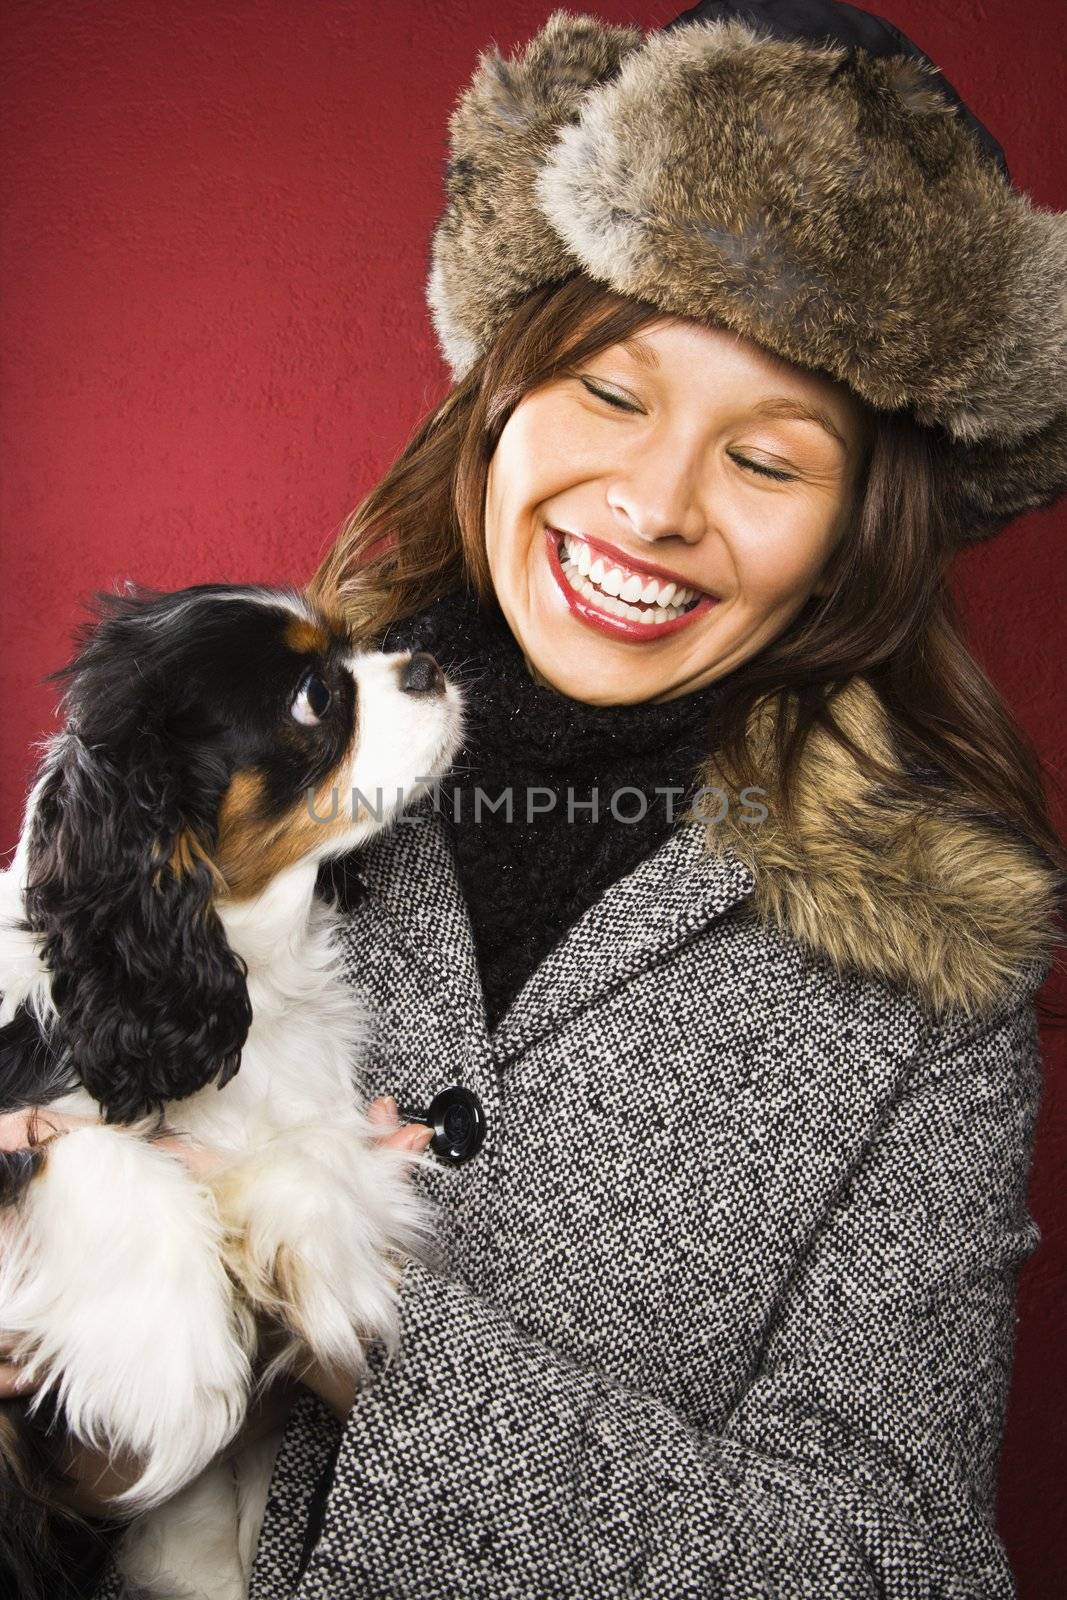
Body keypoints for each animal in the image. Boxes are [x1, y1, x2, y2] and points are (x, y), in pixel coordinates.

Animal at [0, 582, 463, 1600]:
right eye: (314, 699)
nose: (426, 663)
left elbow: (309, 1156)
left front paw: (338, 1252)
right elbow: (90, 1154)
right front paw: (165, 1363)